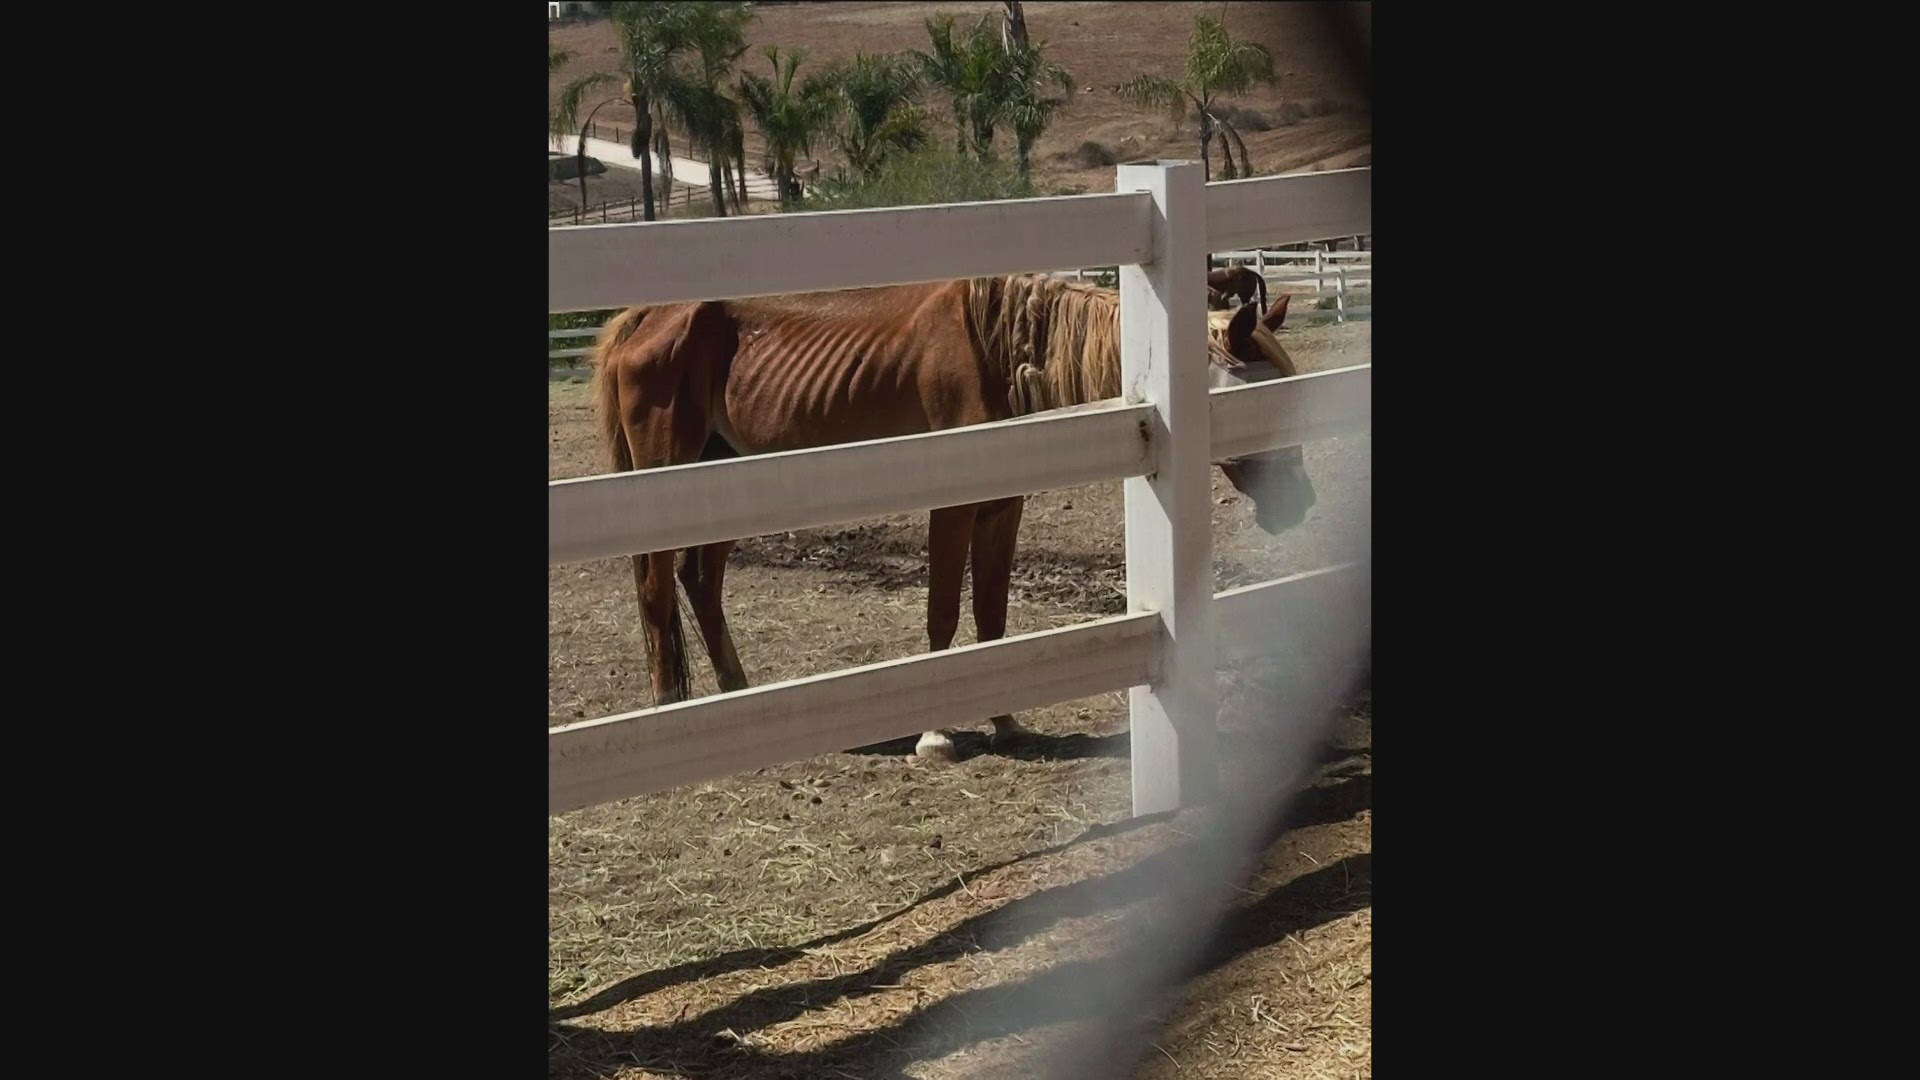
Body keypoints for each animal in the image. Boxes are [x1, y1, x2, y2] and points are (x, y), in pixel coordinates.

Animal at [592, 273, 1312, 763]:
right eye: (1266, 400)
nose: (1302, 503)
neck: (997, 353)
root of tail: (644, 317)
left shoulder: (1002, 508)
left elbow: (992, 617)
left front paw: (1006, 719)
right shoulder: (954, 507)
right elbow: (943, 611)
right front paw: (936, 734)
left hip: (720, 478)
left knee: (700, 582)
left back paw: (735, 695)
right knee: (656, 586)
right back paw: (670, 705)